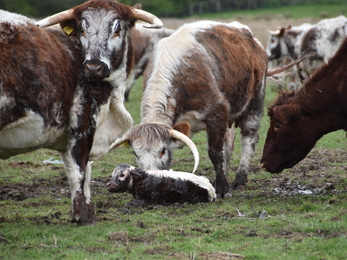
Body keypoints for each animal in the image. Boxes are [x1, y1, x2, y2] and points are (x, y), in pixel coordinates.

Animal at [0, 0, 163, 225]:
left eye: (117, 29)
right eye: (82, 29)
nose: (94, 67)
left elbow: (86, 170)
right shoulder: (83, 122)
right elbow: (79, 171)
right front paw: (82, 216)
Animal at [109, 20, 270, 198]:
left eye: (162, 151)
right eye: (135, 153)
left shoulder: (217, 112)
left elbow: (215, 153)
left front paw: (223, 189)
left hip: (255, 102)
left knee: (249, 139)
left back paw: (239, 179)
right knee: (229, 141)